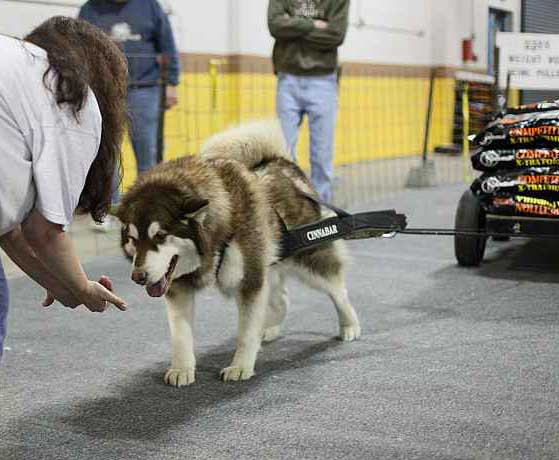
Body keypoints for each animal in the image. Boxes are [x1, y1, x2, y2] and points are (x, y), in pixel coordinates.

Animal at [118, 121, 364, 384]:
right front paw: (182, 369)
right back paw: (269, 329)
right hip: (268, 264)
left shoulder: (249, 281)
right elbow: (181, 334)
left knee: (338, 290)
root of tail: (280, 161)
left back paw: (349, 325)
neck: (220, 223)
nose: (138, 277)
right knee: (281, 299)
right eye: (132, 239)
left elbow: (246, 332)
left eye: (160, 235)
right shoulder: (180, 286)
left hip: (308, 259)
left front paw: (241, 365)